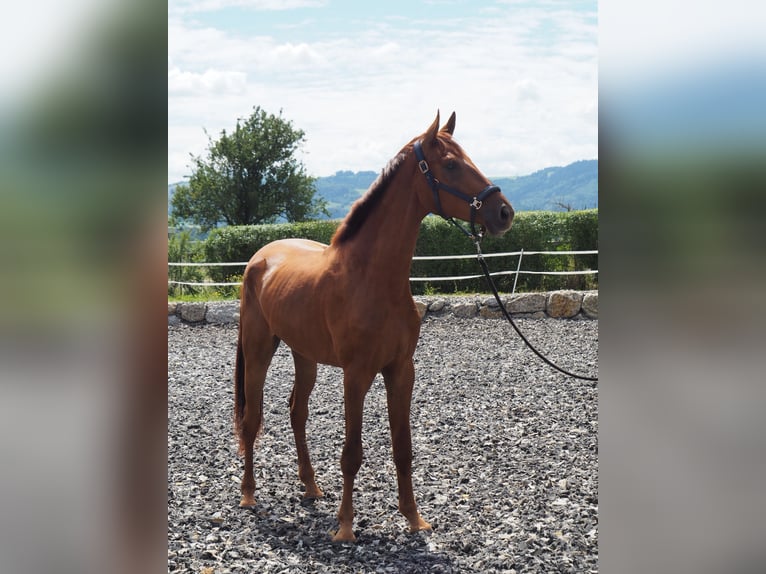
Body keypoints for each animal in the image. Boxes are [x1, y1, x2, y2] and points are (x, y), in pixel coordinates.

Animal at [234, 111, 514, 542]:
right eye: (451, 164)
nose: (503, 212)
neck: (372, 278)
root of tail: (260, 257)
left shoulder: (401, 370)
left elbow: (403, 448)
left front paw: (414, 519)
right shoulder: (357, 373)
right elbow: (352, 452)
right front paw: (346, 527)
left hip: (305, 355)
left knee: (297, 413)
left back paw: (311, 487)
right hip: (259, 348)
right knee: (252, 421)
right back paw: (249, 495)